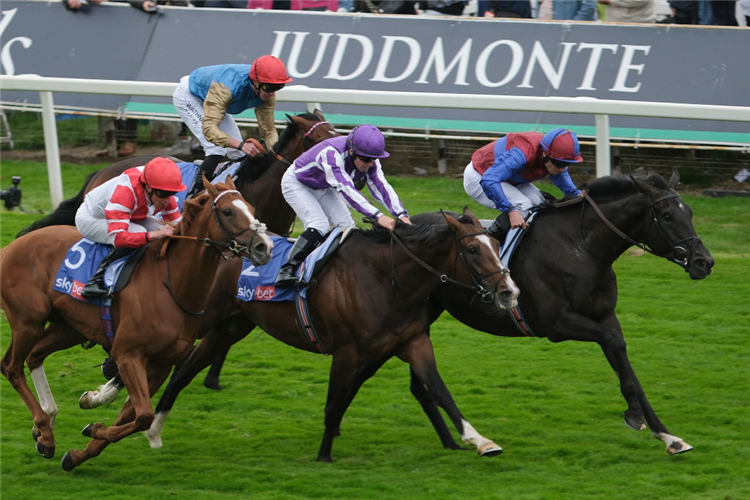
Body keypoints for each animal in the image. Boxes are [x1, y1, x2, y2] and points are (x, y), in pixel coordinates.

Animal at [0, 178, 276, 470]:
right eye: (227, 212)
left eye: (250, 208)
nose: (264, 247)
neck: (170, 285)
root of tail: (11, 247)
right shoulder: (128, 354)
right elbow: (143, 415)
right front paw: (94, 427)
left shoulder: (160, 364)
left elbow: (132, 417)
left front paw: (80, 451)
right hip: (28, 321)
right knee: (11, 367)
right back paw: (44, 426)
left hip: (68, 328)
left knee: (34, 355)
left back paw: (46, 427)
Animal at [418, 170, 716, 456]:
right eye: (667, 216)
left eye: (689, 212)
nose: (705, 262)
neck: (581, 248)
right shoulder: (557, 324)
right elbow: (613, 342)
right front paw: (634, 415)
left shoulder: (605, 316)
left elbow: (624, 359)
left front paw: (667, 436)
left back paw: (451, 442)